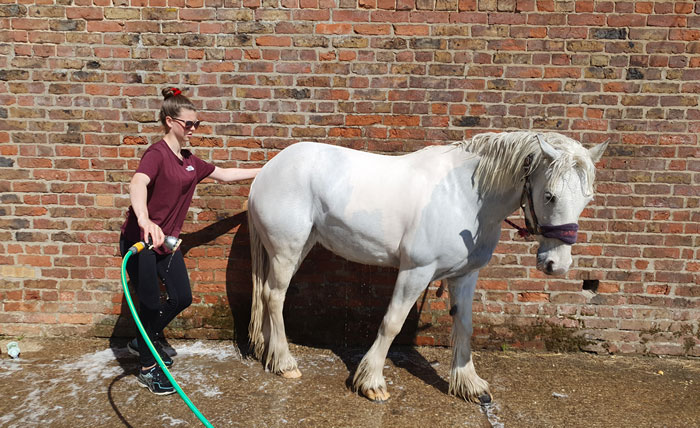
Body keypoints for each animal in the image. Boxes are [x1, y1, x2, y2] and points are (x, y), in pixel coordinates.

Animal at [246, 131, 607, 404]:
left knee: (266, 294)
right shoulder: (416, 271)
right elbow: (392, 323)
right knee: (276, 297)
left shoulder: (466, 275)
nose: (557, 264)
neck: (464, 196)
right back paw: (284, 362)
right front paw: (372, 383)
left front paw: (470, 385)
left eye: (587, 197)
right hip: (287, 249)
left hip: (298, 246)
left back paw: (267, 352)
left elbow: (464, 325)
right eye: (549, 195)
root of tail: (267, 171)